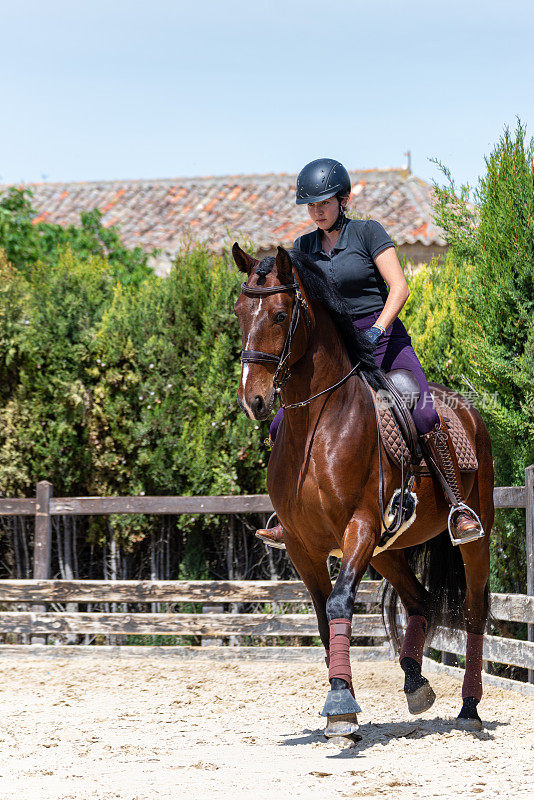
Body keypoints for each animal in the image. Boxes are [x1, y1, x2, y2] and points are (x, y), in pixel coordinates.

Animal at [237, 242, 496, 736]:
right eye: (239, 313)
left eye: (279, 315)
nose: (253, 400)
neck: (317, 429)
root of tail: (465, 409)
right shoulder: (302, 546)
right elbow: (324, 618)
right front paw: (344, 707)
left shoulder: (357, 527)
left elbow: (340, 604)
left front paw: (340, 702)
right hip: (385, 550)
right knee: (420, 600)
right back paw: (415, 684)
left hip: (472, 535)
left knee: (474, 610)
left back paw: (470, 707)